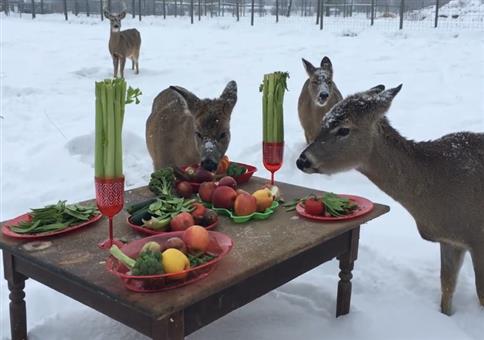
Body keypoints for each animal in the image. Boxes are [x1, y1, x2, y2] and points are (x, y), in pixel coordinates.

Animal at [294, 83, 484, 314]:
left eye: (344, 129)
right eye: (324, 121)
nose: (302, 160)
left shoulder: (478, 236)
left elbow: (480, 294)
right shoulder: (451, 240)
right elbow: (447, 286)